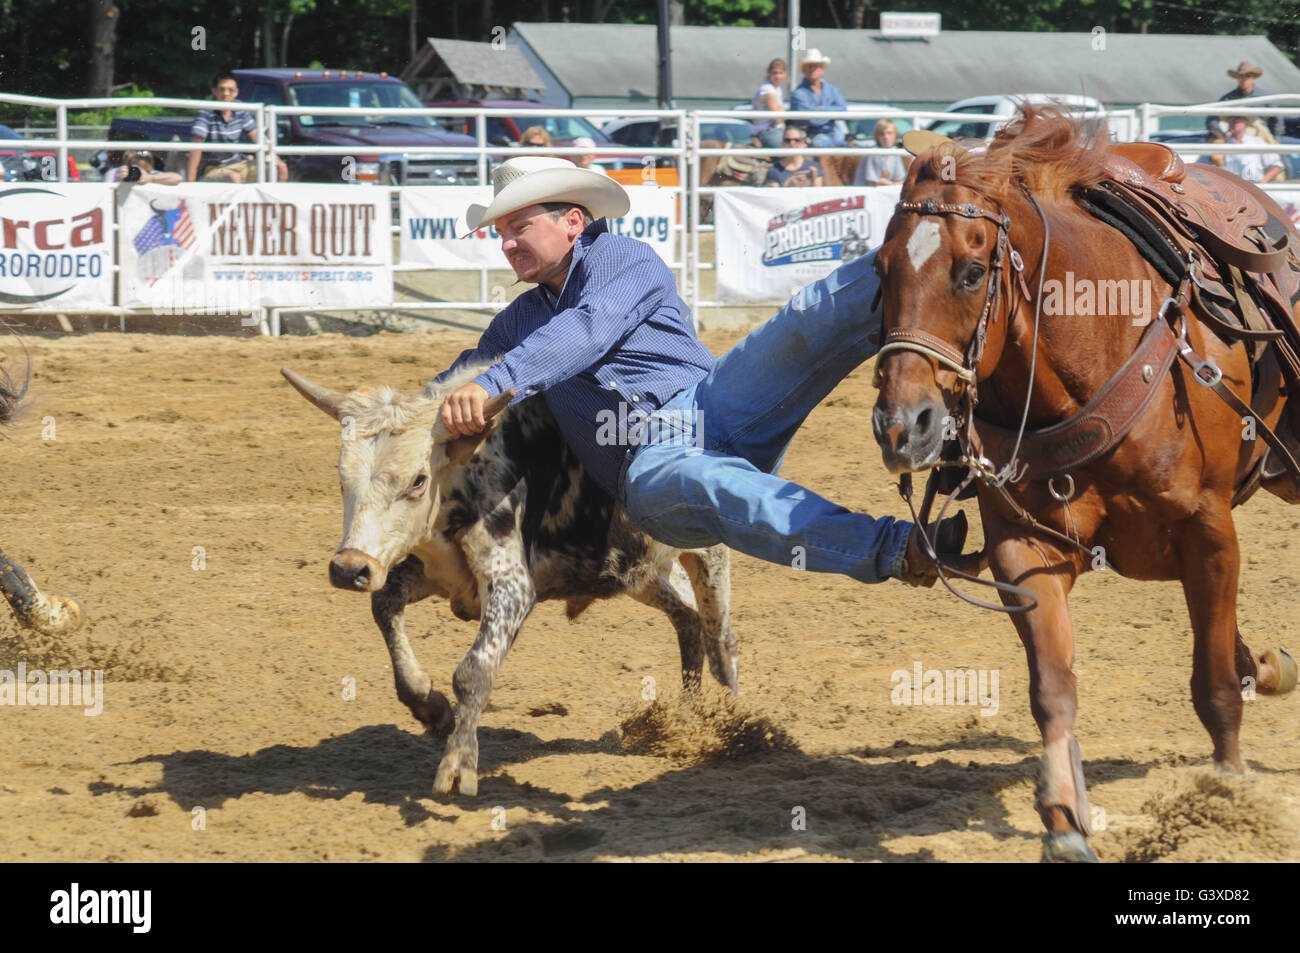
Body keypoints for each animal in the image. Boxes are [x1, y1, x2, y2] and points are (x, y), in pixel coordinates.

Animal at [873, 111, 1300, 863]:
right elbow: (1053, 687)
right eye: (878, 268)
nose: (902, 426)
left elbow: (1215, 685)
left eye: (971, 271)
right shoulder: (1024, 551)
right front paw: (1064, 822)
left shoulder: (1209, 530)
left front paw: (1226, 804)